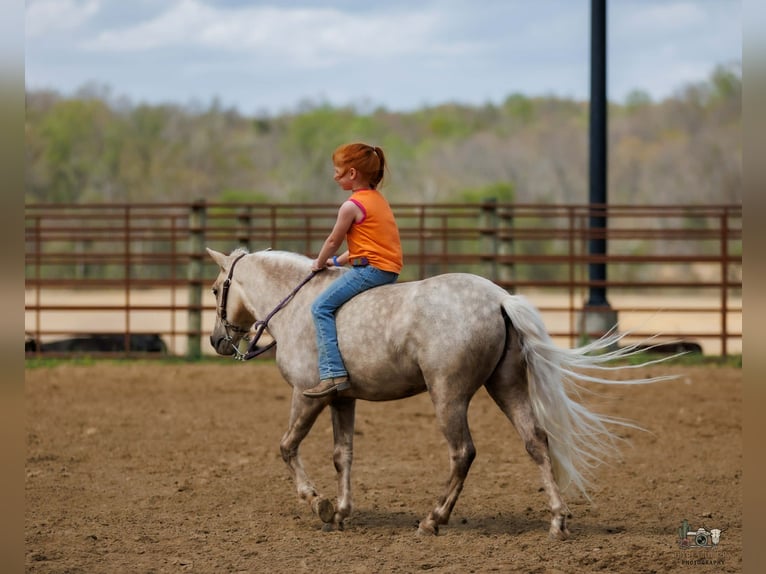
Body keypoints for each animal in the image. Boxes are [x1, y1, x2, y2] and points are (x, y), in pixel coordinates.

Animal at [207, 247, 673, 538]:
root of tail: (499, 299)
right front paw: (339, 511)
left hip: (448, 395)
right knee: (536, 442)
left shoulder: (308, 396)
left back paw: (433, 519)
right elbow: (343, 456)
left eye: (214, 289)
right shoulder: (343, 399)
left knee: (463, 453)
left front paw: (316, 502)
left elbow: (287, 446)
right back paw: (557, 522)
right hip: (507, 386)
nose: (216, 341)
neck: (299, 306)